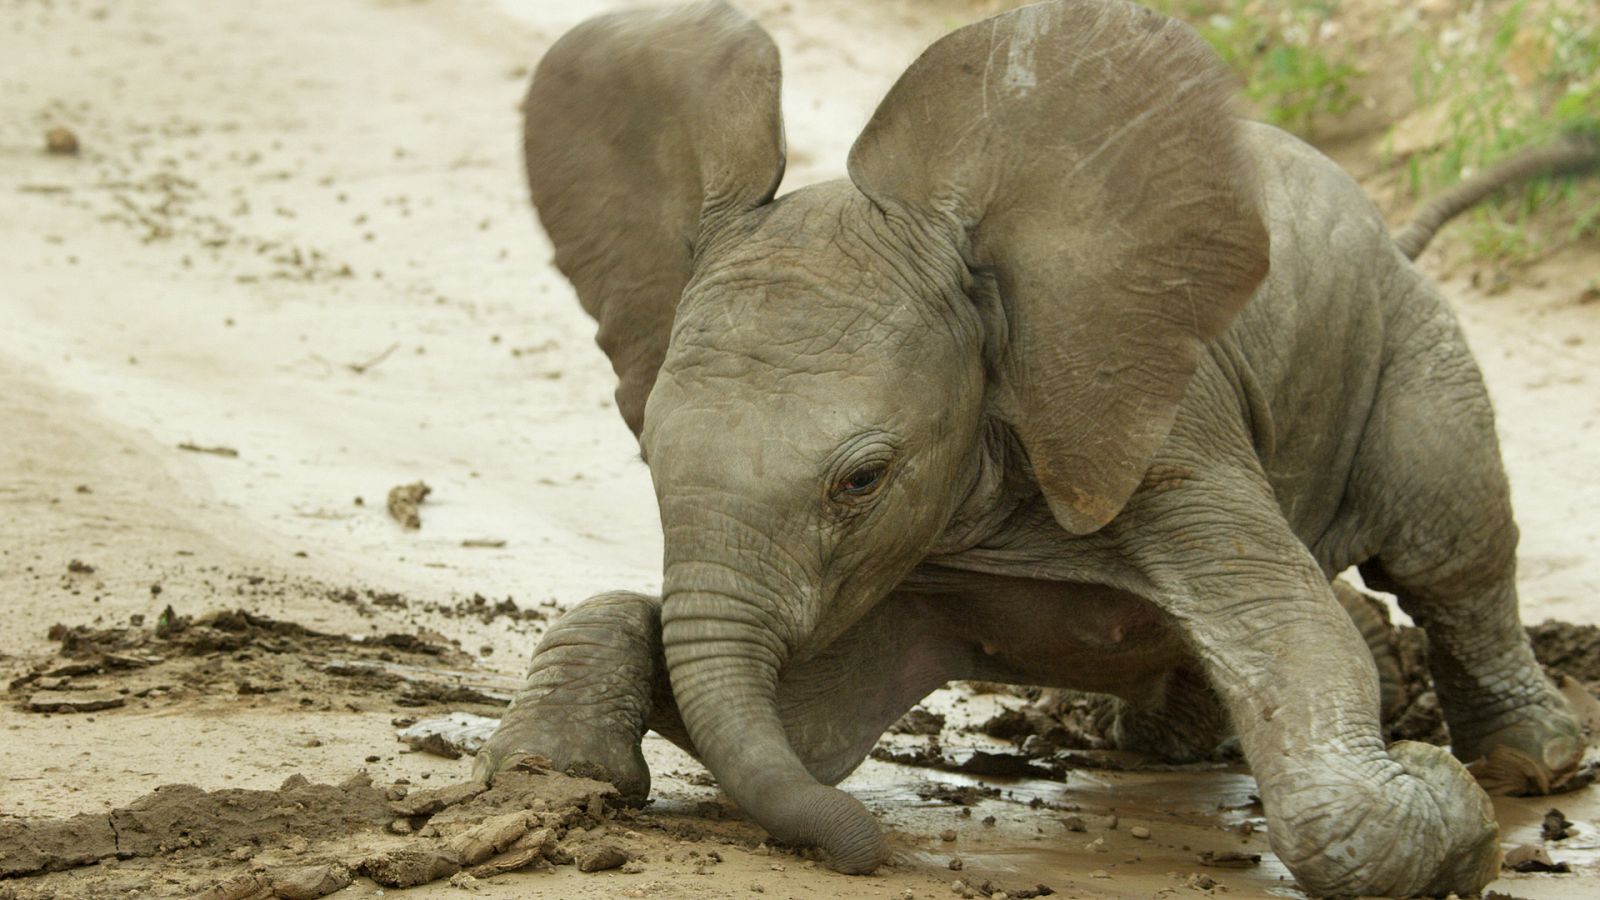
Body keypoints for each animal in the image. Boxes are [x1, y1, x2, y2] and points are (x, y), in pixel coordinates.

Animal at [483, 3, 1587, 890]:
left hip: (1411, 342)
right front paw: (554, 774)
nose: (878, 859)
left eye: (862, 480)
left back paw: (1526, 763)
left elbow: (1297, 642)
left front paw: (1441, 796)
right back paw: (1156, 746)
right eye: (648, 456)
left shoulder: (1164, 431)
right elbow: (806, 731)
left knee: (1451, 550)